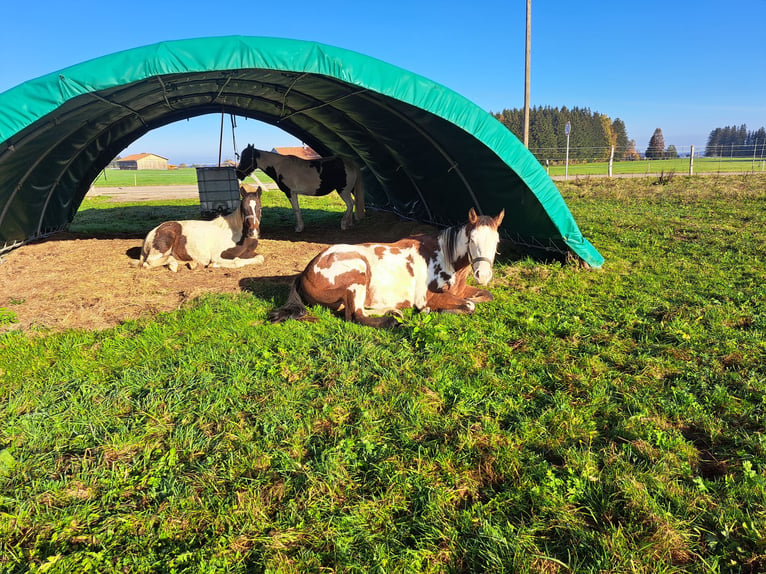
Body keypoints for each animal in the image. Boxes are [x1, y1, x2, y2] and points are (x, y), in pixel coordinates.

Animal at [236, 143, 364, 233]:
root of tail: (350, 163)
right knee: (352, 204)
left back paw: (343, 224)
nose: (238, 174)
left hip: (343, 191)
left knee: (350, 204)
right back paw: (349, 223)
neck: (280, 166)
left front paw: (299, 228)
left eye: (246, 157)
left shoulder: (290, 192)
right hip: (349, 190)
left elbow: (296, 210)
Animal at [268, 209, 504, 328]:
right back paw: (391, 320)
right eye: (471, 240)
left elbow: (485, 296)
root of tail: (305, 272)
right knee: (356, 315)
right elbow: (469, 306)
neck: (444, 255)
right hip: (358, 272)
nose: (483, 275)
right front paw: (431, 310)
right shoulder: (428, 297)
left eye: (497, 241)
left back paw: (394, 311)